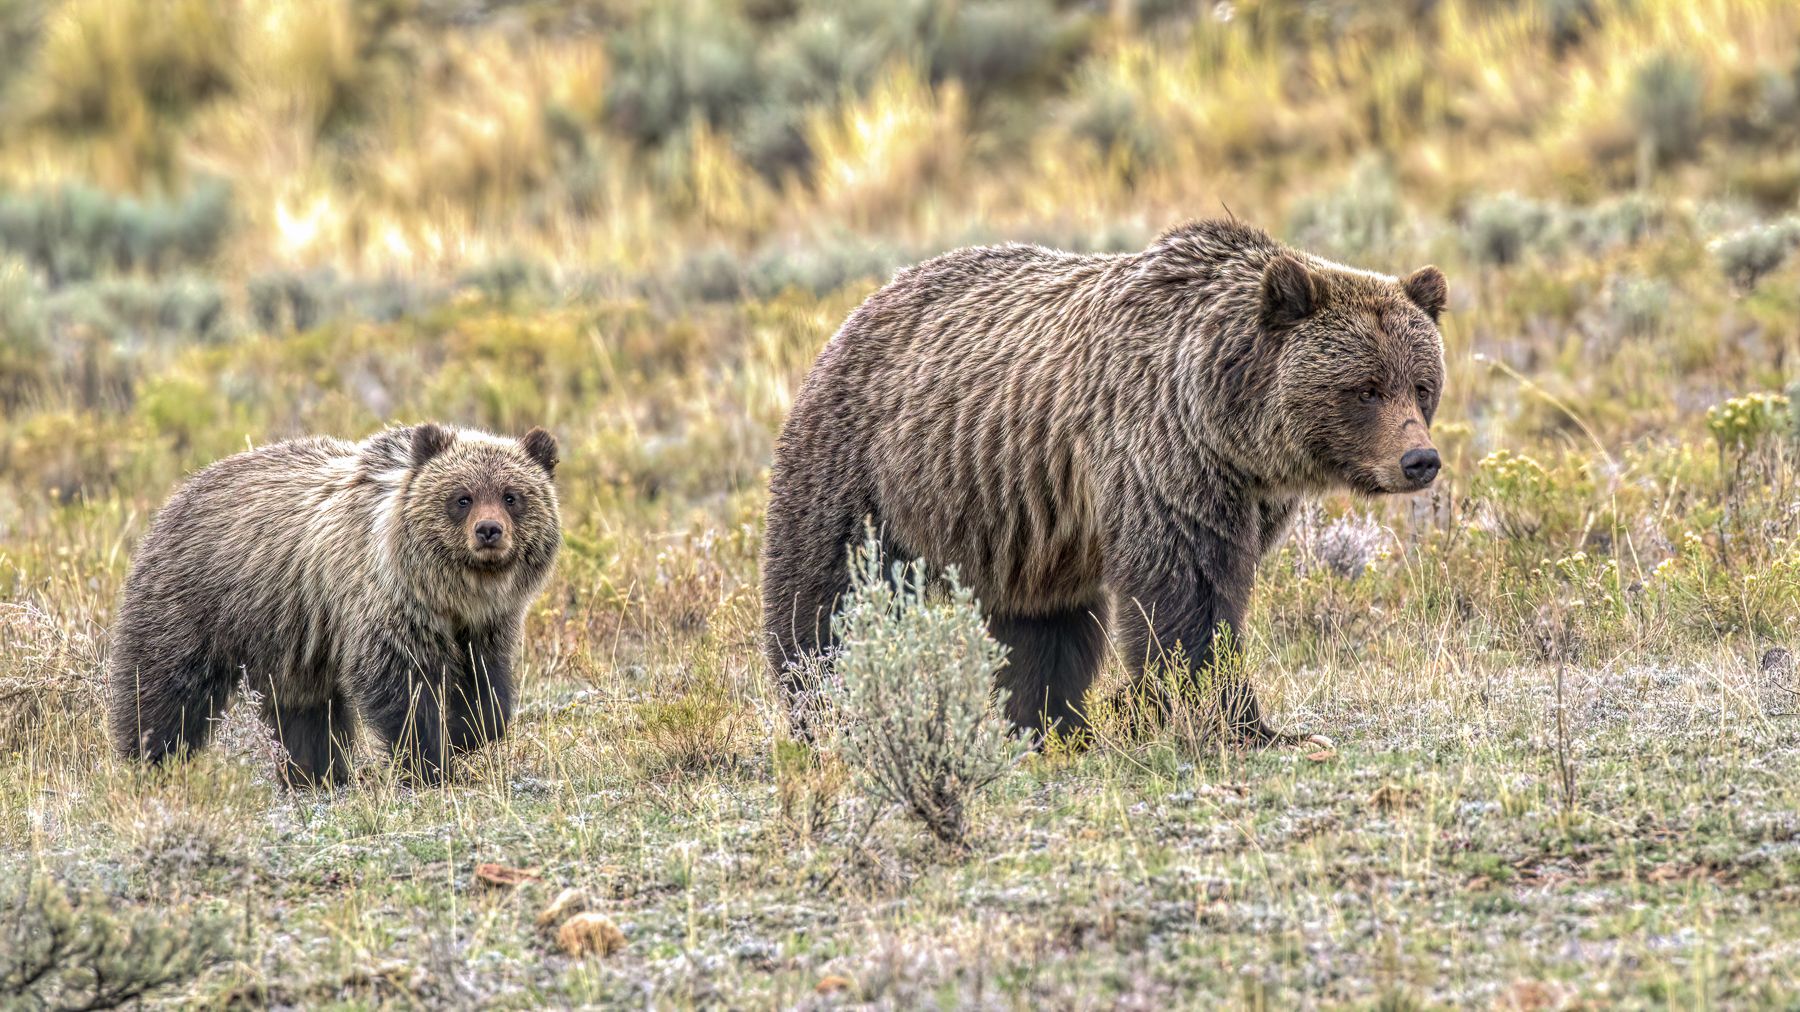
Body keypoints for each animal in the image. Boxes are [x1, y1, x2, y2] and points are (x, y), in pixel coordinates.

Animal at [107, 423, 562, 786]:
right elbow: (403, 689)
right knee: (165, 692)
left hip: (293, 641)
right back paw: (151, 761)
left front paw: (466, 733)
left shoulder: (486, 624)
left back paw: (315, 774)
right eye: (462, 497)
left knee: (307, 712)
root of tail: (180, 491)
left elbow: (487, 694)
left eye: (511, 496)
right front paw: (433, 762)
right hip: (194, 604)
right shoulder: (383, 604)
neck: (449, 592)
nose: (488, 531)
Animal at [761, 219, 1446, 744]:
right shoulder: (1161, 455)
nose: (1420, 459)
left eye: (1420, 384)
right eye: (1365, 388)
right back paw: (826, 712)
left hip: (1024, 530)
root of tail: (861, 307)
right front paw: (1228, 719)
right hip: (867, 466)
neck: (1226, 419)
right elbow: (1187, 595)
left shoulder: (1249, 495)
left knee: (1044, 628)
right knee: (828, 596)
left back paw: (1051, 727)